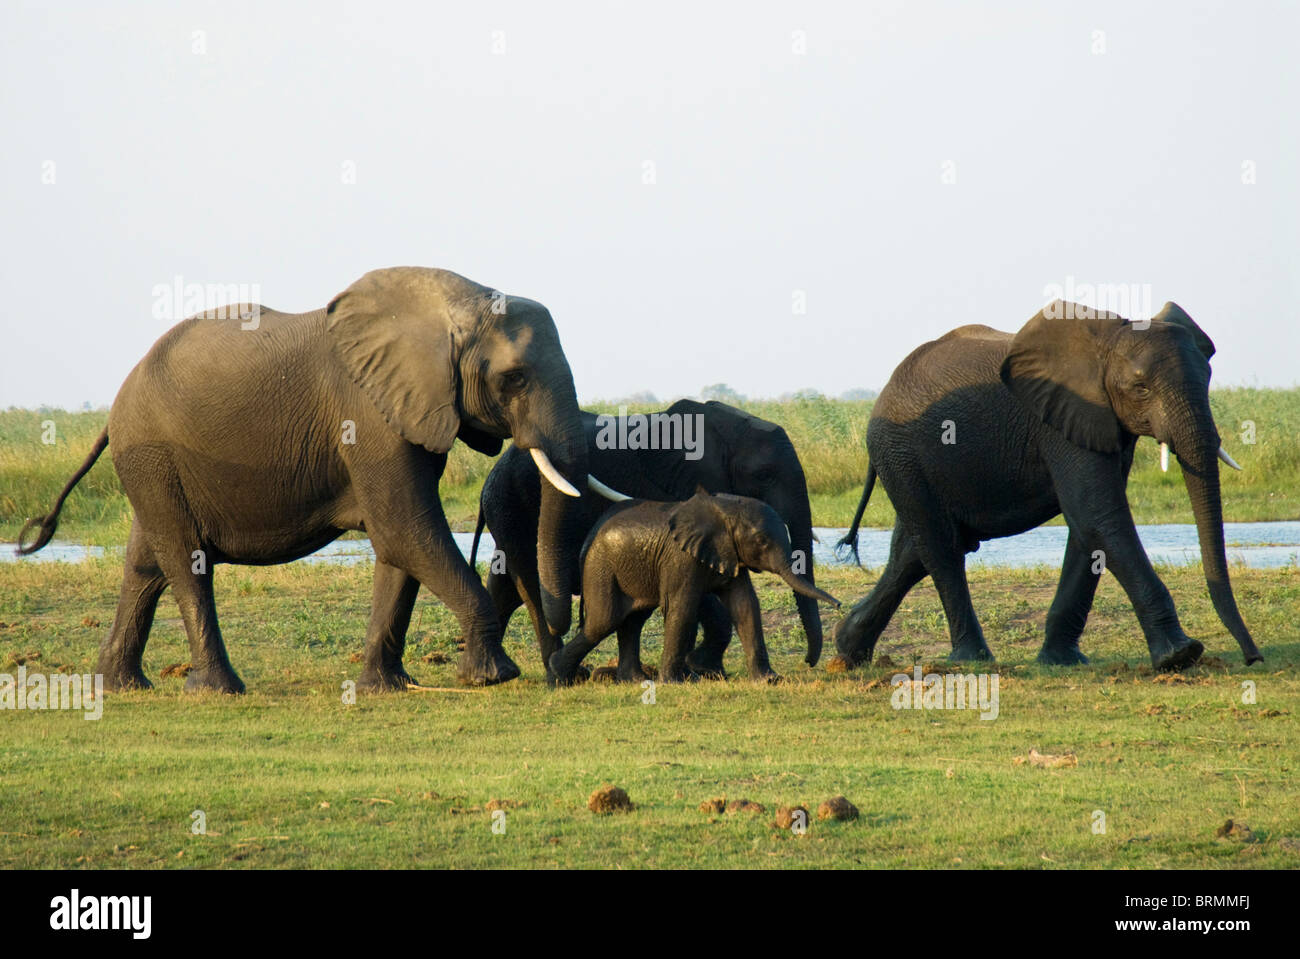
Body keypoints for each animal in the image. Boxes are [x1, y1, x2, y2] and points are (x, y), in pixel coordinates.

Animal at [16, 265, 595, 691]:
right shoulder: (368, 416)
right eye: (513, 379)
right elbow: (405, 529)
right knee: (185, 559)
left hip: (154, 469)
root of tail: (117, 401)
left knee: (145, 562)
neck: (458, 301)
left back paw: (122, 685)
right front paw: (492, 678)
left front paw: (384, 688)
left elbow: (398, 546)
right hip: (152, 455)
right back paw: (217, 689)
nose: (565, 669)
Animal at [548, 488, 842, 686]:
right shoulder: (680, 557)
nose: (839, 605)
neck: (725, 509)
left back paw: (635, 680)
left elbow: (745, 605)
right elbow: (682, 606)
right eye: (761, 541)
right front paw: (675, 683)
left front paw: (769, 680)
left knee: (632, 621)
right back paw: (558, 676)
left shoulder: (729, 552)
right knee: (603, 620)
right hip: (601, 567)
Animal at [832, 302, 1258, 670]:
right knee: (942, 547)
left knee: (913, 551)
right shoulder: (1063, 418)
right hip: (899, 452)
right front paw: (1179, 656)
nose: (1252, 658)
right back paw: (972, 660)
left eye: (1208, 379)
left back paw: (848, 650)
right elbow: (1097, 516)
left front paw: (1061, 661)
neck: (1105, 341)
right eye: (1141, 389)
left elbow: (1087, 528)